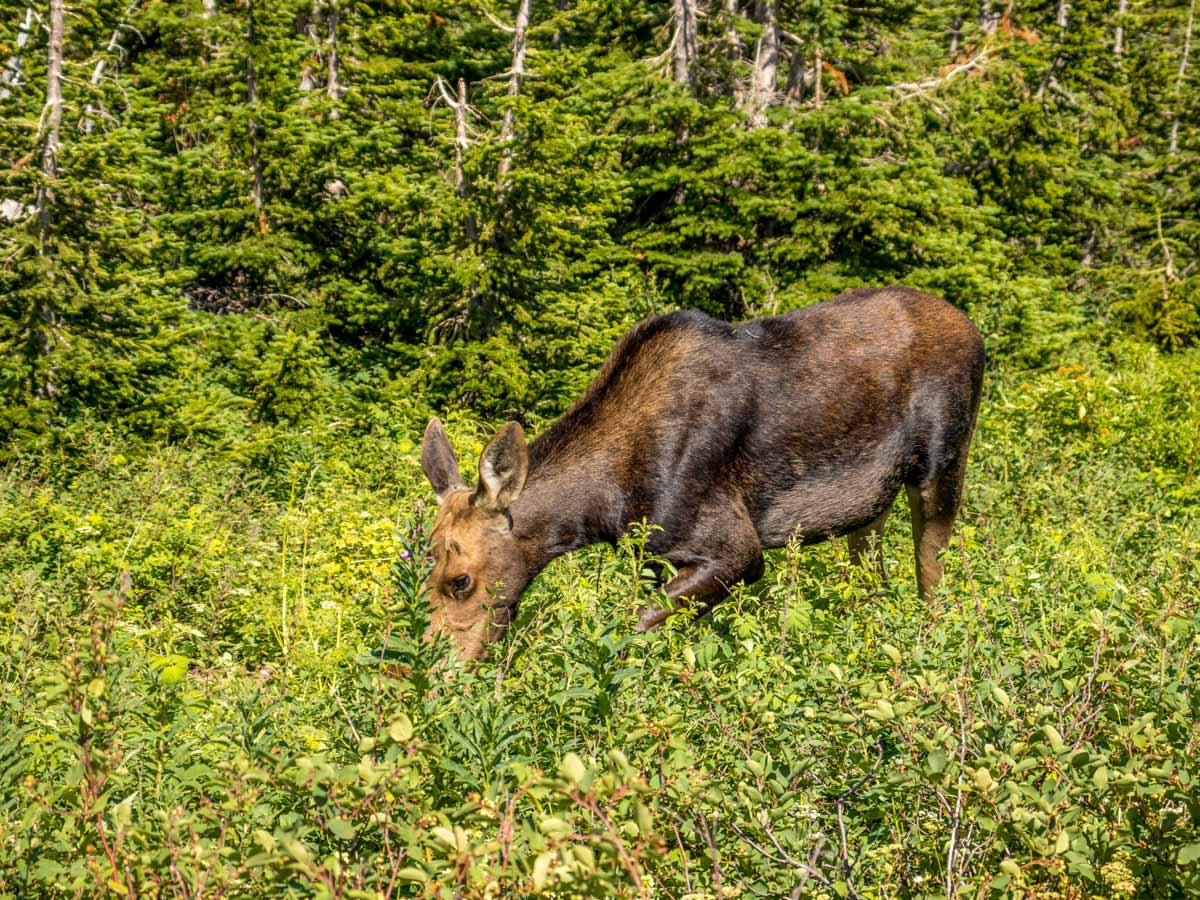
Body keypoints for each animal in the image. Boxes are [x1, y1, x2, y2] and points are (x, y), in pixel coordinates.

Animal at [422, 289, 984, 662]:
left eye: (460, 580)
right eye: (424, 566)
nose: (435, 668)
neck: (600, 508)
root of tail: (974, 329)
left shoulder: (736, 550)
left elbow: (632, 627)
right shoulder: (656, 556)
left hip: (942, 465)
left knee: (932, 578)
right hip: (870, 507)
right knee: (873, 578)